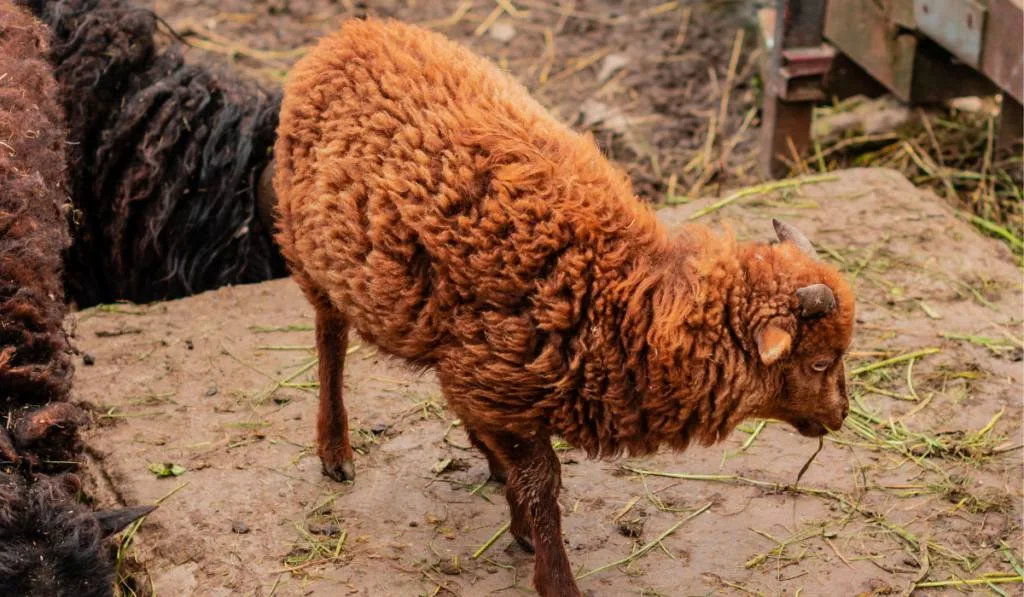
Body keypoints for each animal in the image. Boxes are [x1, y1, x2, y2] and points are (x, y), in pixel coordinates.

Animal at [272, 18, 856, 597]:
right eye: (819, 362)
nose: (843, 414)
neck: (624, 299)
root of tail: (352, 32)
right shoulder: (504, 387)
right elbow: (543, 484)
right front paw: (553, 574)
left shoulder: (491, 384)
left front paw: (516, 518)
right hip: (309, 253)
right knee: (330, 342)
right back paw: (336, 453)